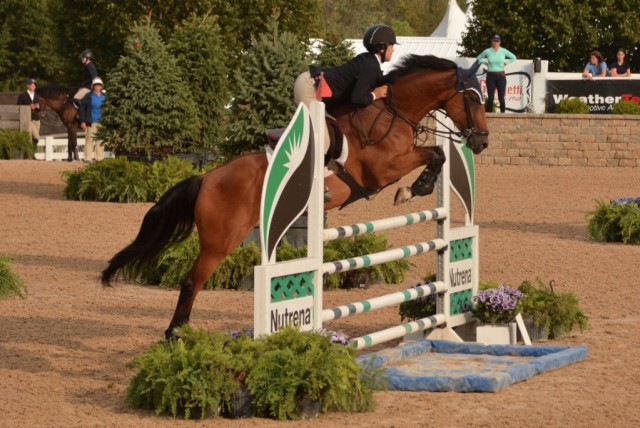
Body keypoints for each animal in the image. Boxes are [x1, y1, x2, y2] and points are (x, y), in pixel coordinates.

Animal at [101, 55, 490, 340]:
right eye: (473, 98)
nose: (482, 142)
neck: (392, 111)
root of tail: (207, 177)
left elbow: (436, 156)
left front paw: (415, 189)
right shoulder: (382, 169)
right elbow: (434, 156)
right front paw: (411, 190)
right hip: (220, 240)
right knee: (190, 281)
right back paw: (175, 335)